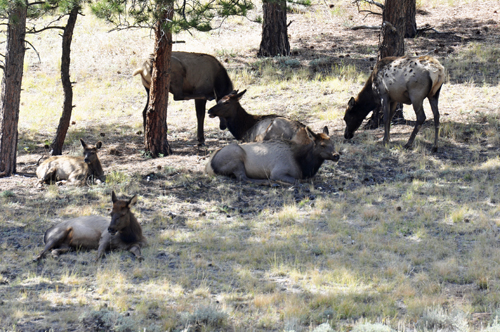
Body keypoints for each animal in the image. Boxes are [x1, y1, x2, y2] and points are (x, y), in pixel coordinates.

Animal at [204, 127, 340, 184]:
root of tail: (209, 166)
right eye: (322, 145)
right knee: (244, 178)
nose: (336, 155)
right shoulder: (278, 171)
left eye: (333, 143)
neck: (303, 165)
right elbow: (298, 180)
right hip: (236, 156)